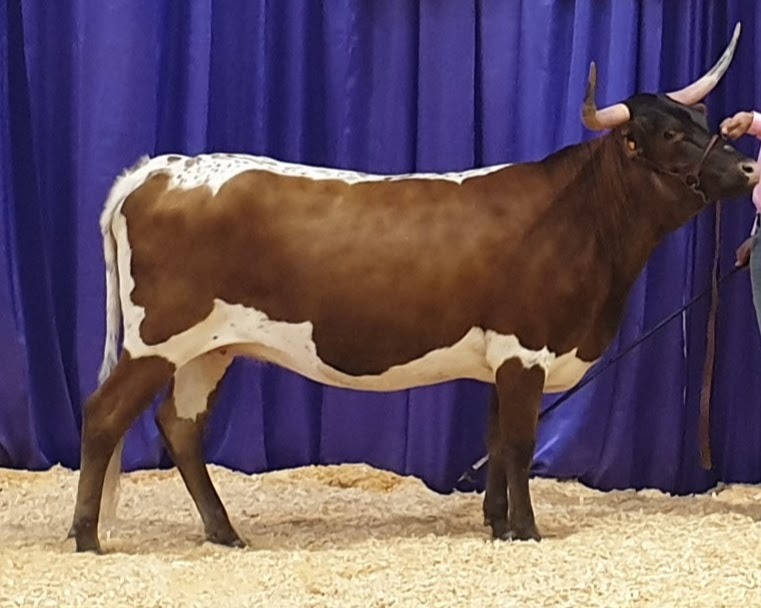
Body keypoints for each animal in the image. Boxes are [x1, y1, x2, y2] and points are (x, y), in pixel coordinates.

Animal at [68, 24, 759, 553]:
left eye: (702, 117)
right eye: (668, 134)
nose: (750, 167)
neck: (583, 223)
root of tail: (158, 169)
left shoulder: (501, 358)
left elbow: (496, 443)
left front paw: (498, 525)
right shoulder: (525, 350)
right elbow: (520, 443)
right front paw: (527, 532)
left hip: (208, 350)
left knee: (180, 427)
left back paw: (224, 533)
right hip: (157, 340)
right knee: (103, 416)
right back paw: (87, 537)